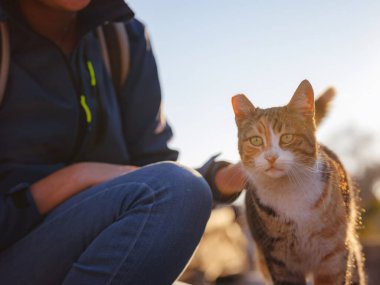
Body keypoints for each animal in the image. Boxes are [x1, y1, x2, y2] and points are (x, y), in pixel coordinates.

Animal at [232, 80, 366, 284]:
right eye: (256, 141)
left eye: (287, 137)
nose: (271, 157)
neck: (290, 191)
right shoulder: (280, 262)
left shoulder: (334, 256)